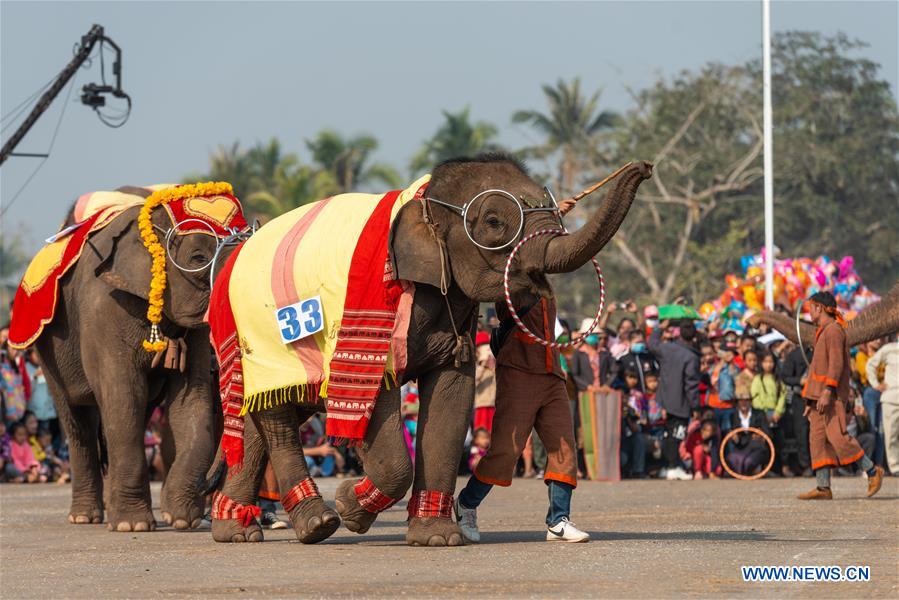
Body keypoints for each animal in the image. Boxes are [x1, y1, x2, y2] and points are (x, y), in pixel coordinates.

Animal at [10, 182, 250, 528]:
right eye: (198, 258)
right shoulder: (105, 307)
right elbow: (124, 396)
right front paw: (133, 525)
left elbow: (192, 401)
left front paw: (181, 519)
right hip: (47, 350)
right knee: (79, 419)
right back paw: (86, 518)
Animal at [209, 156, 652, 548]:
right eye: (494, 223)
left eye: (555, 211)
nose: (644, 167)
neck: (421, 200)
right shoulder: (375, 313)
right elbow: (378, 403)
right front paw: (351, 507)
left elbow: (452, 395)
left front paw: (437, 537)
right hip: (258, 339)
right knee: (278, 421)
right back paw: (316, 523)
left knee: (263, 417)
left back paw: (234, 529)